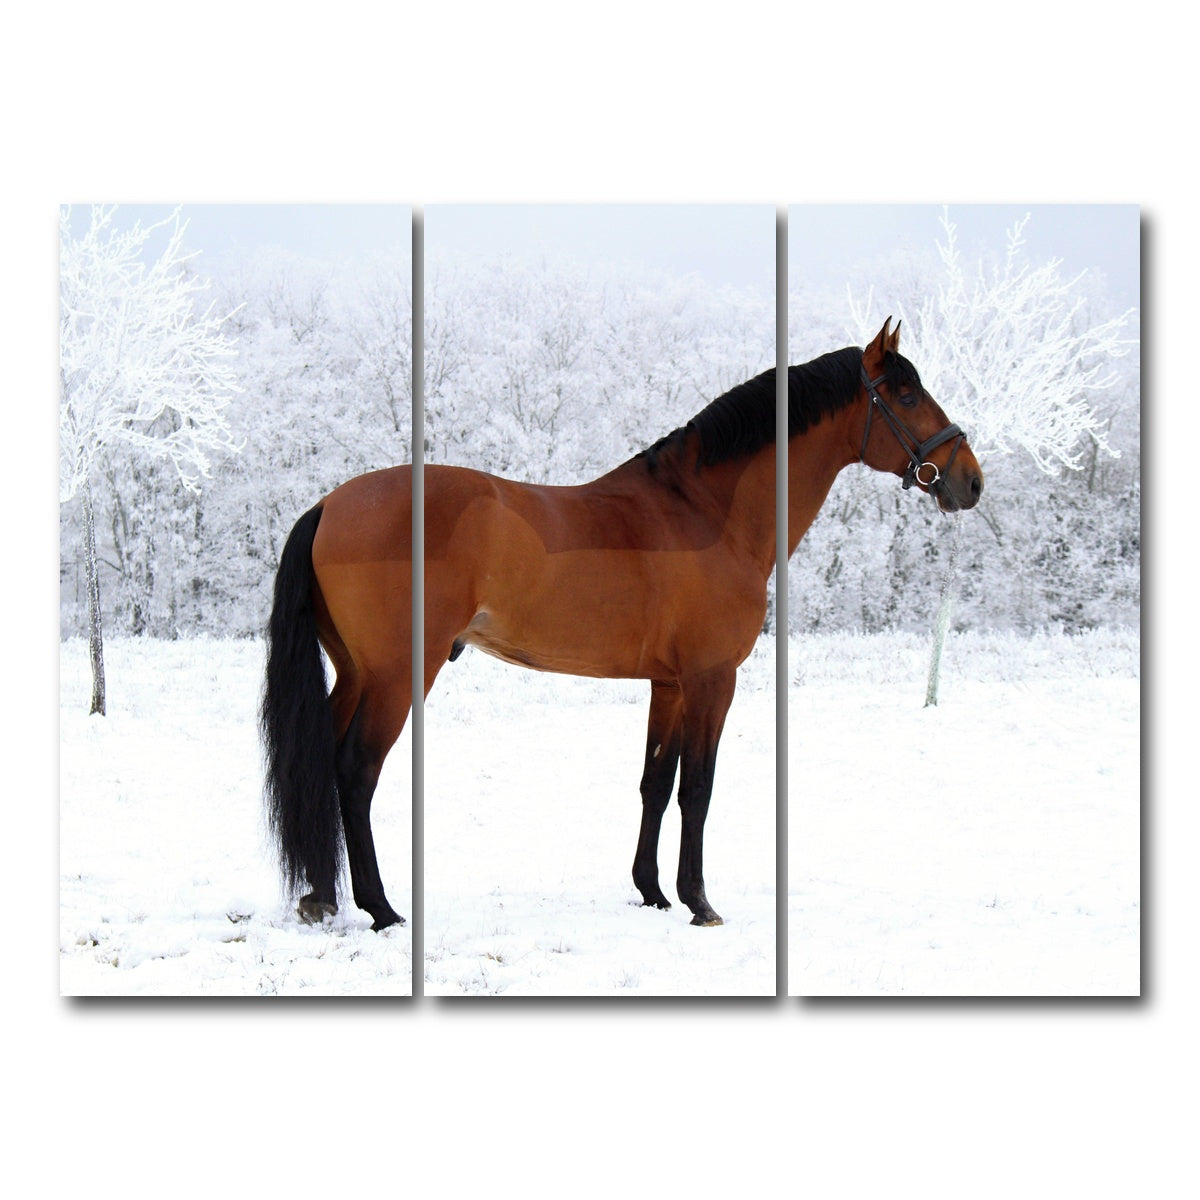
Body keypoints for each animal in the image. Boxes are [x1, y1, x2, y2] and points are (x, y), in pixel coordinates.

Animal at [261, 318, 982, 930]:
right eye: (908, 393)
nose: (970, 481)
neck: (704, 512)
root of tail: (329, 505)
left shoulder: (669, 684)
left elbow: (655, 785)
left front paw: (653, 892)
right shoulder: (712, 679)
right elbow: (698, 788)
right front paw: (699, 902)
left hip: (355, 672)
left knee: (320, 761)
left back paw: (321, 897)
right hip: (398, 674)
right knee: (355, 769)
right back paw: (380, 908)